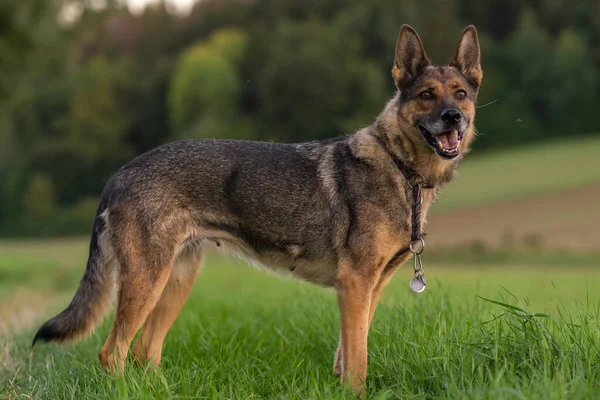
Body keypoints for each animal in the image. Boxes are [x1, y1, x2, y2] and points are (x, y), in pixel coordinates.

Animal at [32, 24, 482, 394]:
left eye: (460, 94)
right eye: (426, 95)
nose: (453, 118)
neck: (400, 166)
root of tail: (117, 176)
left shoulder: (370, 288)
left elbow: (349, 352)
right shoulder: (355, 283)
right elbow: (358, 362)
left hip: (176, 281)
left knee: (145, 351)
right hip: (147, 281)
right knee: (113, 352)